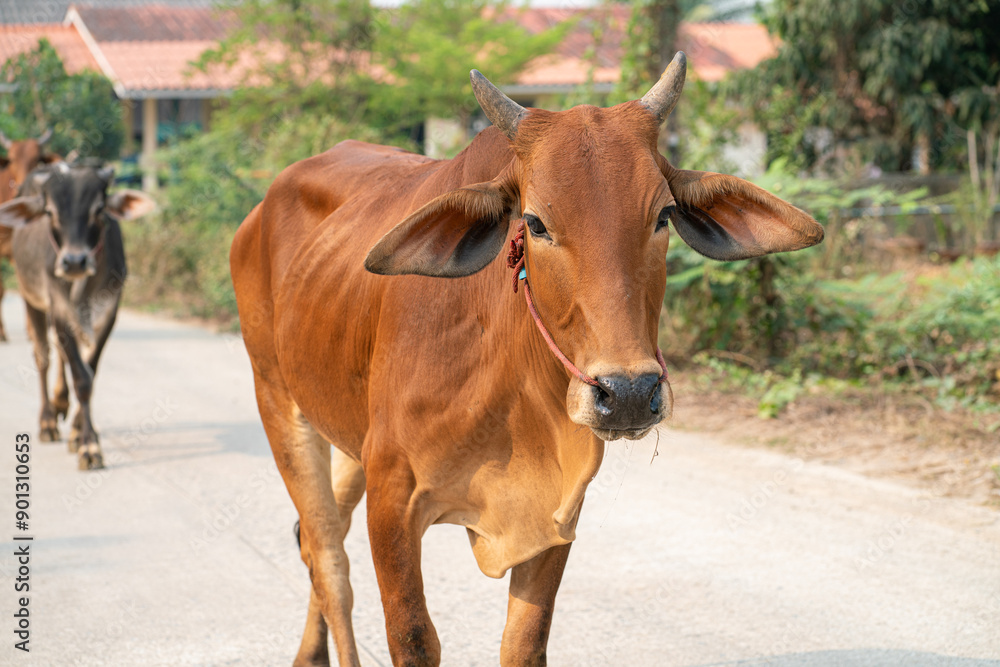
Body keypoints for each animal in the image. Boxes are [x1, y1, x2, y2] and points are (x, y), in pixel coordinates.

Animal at [0, 162, 155, 470]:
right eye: (50, 212)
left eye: (99, 209)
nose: (74, 262)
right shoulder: (57, 306)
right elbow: (81, 377)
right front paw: (89, 447)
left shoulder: (108, 311)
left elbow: (89, 372)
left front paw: (79, 432)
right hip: (30, 298)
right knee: (43, 356)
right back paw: (48, 421)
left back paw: (61, 404)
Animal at [230, 52, 823, 666]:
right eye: (535, 223)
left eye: (662, 216)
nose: (628, 394)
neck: (509, 385)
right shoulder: (393, 495)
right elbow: (412, 636)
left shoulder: (559, 509)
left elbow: (524, 642)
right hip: (278, 399)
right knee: (328, 556)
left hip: (349, 437)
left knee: (313, 539)